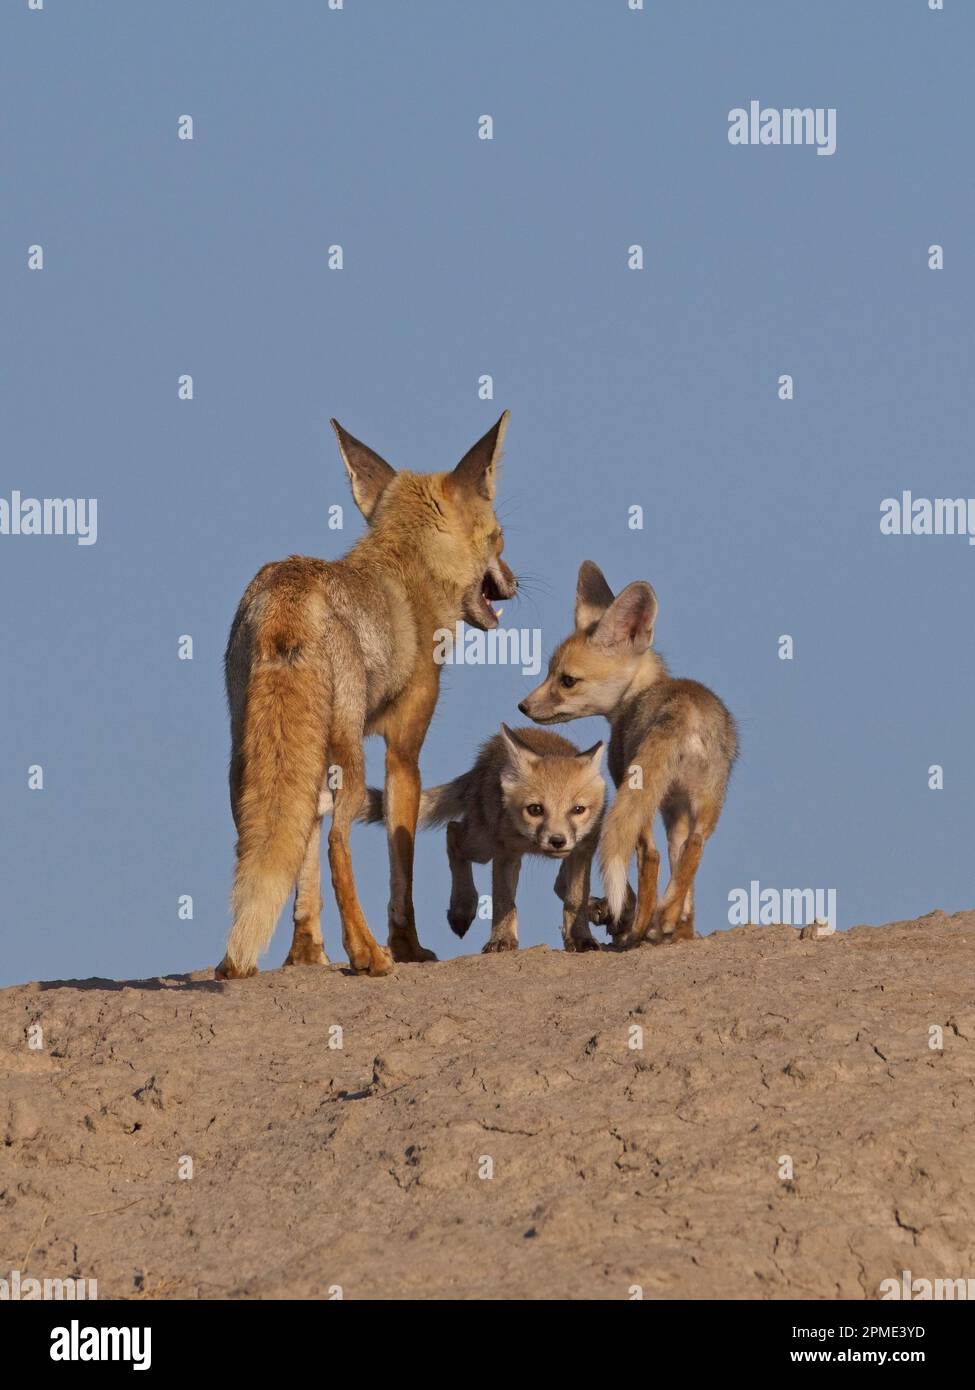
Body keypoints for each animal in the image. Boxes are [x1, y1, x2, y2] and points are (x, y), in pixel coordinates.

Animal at [214, 411, 517, 978]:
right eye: (500, 539)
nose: (513, 582)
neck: (409, 578)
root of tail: (289, 592)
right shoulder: (403, 750)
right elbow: (403, 868)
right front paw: (407, 946)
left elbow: (303, 854)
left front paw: (305, 951)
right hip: (348, 758)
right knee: (338, 842)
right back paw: (367, 953)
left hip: (248, 758)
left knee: (266, 845)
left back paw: (245, 960)